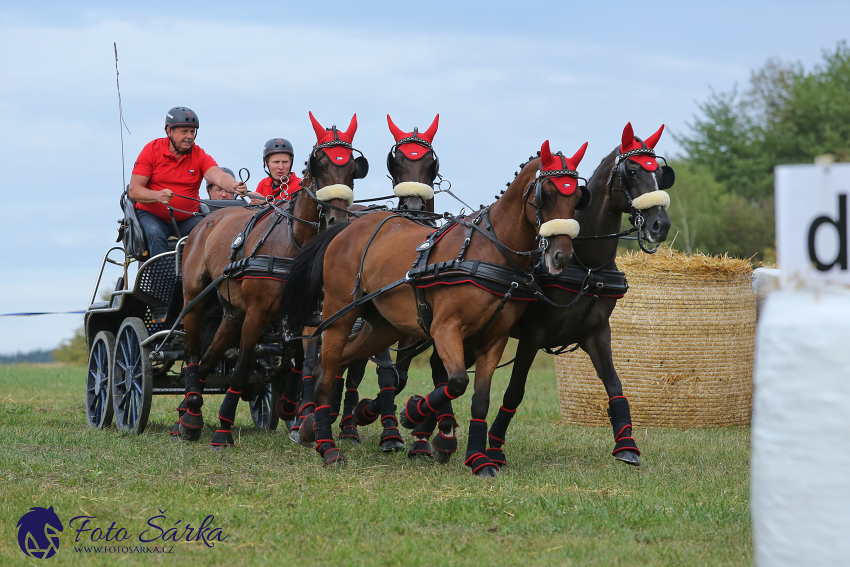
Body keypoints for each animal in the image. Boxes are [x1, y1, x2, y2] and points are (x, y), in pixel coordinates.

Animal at [176, 112, 368, 448]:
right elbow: (241, 371)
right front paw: (224, 430)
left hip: (232, 313)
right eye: (319, 163)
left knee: (210, 358)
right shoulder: (257, 314)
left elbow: (298, 362)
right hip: (194, 298)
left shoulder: (300, 315)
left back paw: (189, 413)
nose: (337, 220)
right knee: (193, 352)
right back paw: (190, 408)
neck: (294, 242)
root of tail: (209, 218)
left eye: (351, 169)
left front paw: (293, 410)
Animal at [282, 141, 588, 474]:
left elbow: (480, 400)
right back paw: (328, 448)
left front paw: (478, 459)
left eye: (577, 197)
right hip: (340, 315)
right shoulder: (445, 329)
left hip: (383, 327)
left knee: (338, 364)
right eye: (548, 194)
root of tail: (345, 228)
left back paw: (313, 426)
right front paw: (413, 413)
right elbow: (456, 381)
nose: (561, 255)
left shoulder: (494, 339)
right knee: (325, 374)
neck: (489, 252)